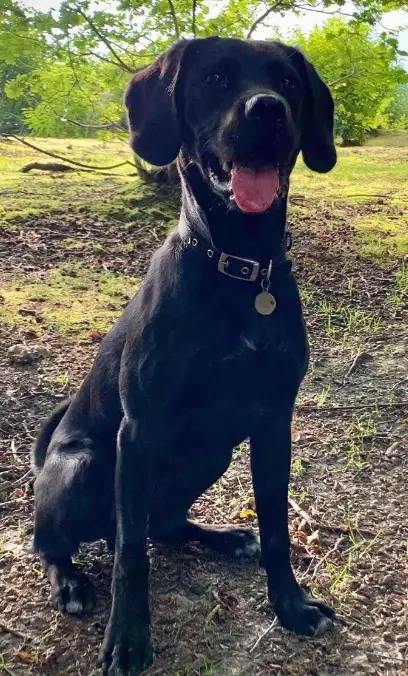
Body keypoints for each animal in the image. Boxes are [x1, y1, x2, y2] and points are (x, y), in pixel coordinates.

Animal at [31, 38, 336, 676]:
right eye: (215, 79)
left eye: (288, 83)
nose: (267, 111)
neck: (241, 269)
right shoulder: (137, 433)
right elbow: (130, 557)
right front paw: (127, 639)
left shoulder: (274, 424)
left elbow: (276, 529)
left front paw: (291, 606)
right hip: (82, 465)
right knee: (61, 541)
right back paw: (69, 582)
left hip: (212, 454)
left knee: (163, 525)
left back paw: (222, 536)